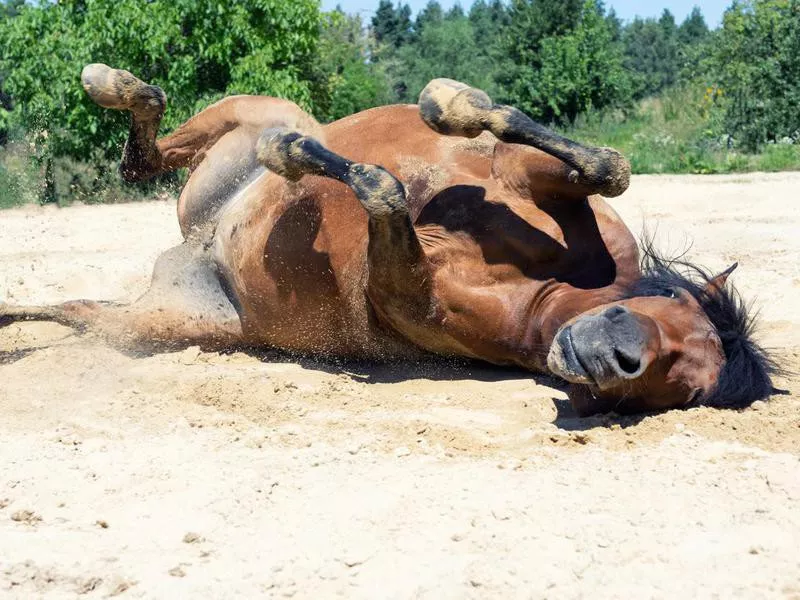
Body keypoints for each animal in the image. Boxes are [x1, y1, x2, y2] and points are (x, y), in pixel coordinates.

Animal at [0, 63, 776, 414]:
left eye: (685, 391)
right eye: (674, 310)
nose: (617, 359)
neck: (550, 286)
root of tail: (198, 246)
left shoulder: (405, 289)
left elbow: (381, 189)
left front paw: (299, 158)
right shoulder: (531, 177)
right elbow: (603, 164)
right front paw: (452, 102)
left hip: (164, 324)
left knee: (80, 308)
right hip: (248, 118)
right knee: (149, 142)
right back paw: (112, 81)